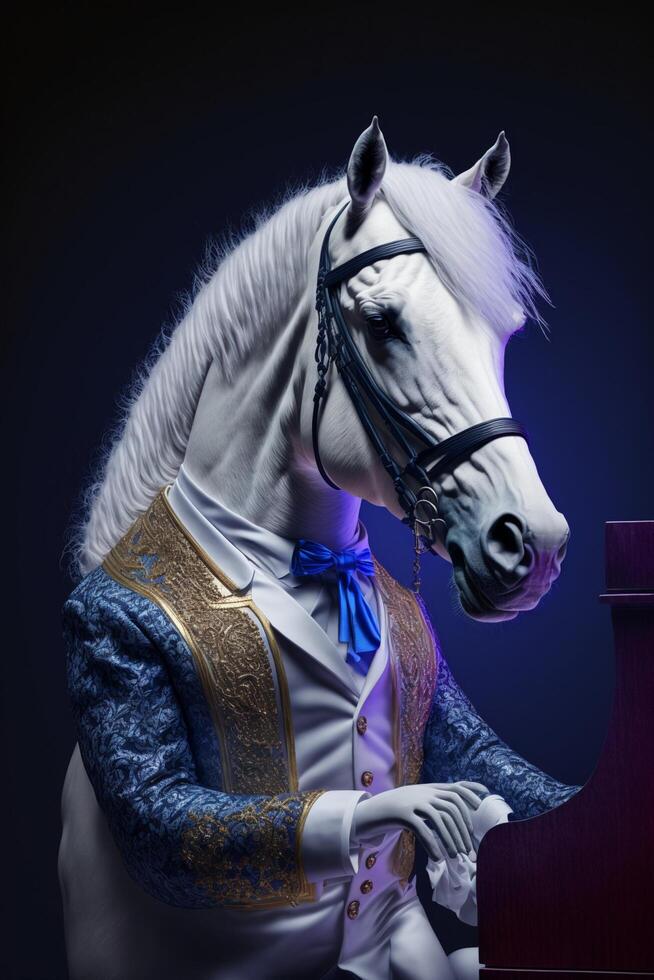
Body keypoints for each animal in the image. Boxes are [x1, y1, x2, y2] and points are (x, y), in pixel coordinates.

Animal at [62, 117, 576, 980]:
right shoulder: (106, 656)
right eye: (383, 322)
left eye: (501, 334)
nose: (531, 544)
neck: (308, 561)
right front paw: (413, 807)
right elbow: (168, 814)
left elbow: (482, 754)